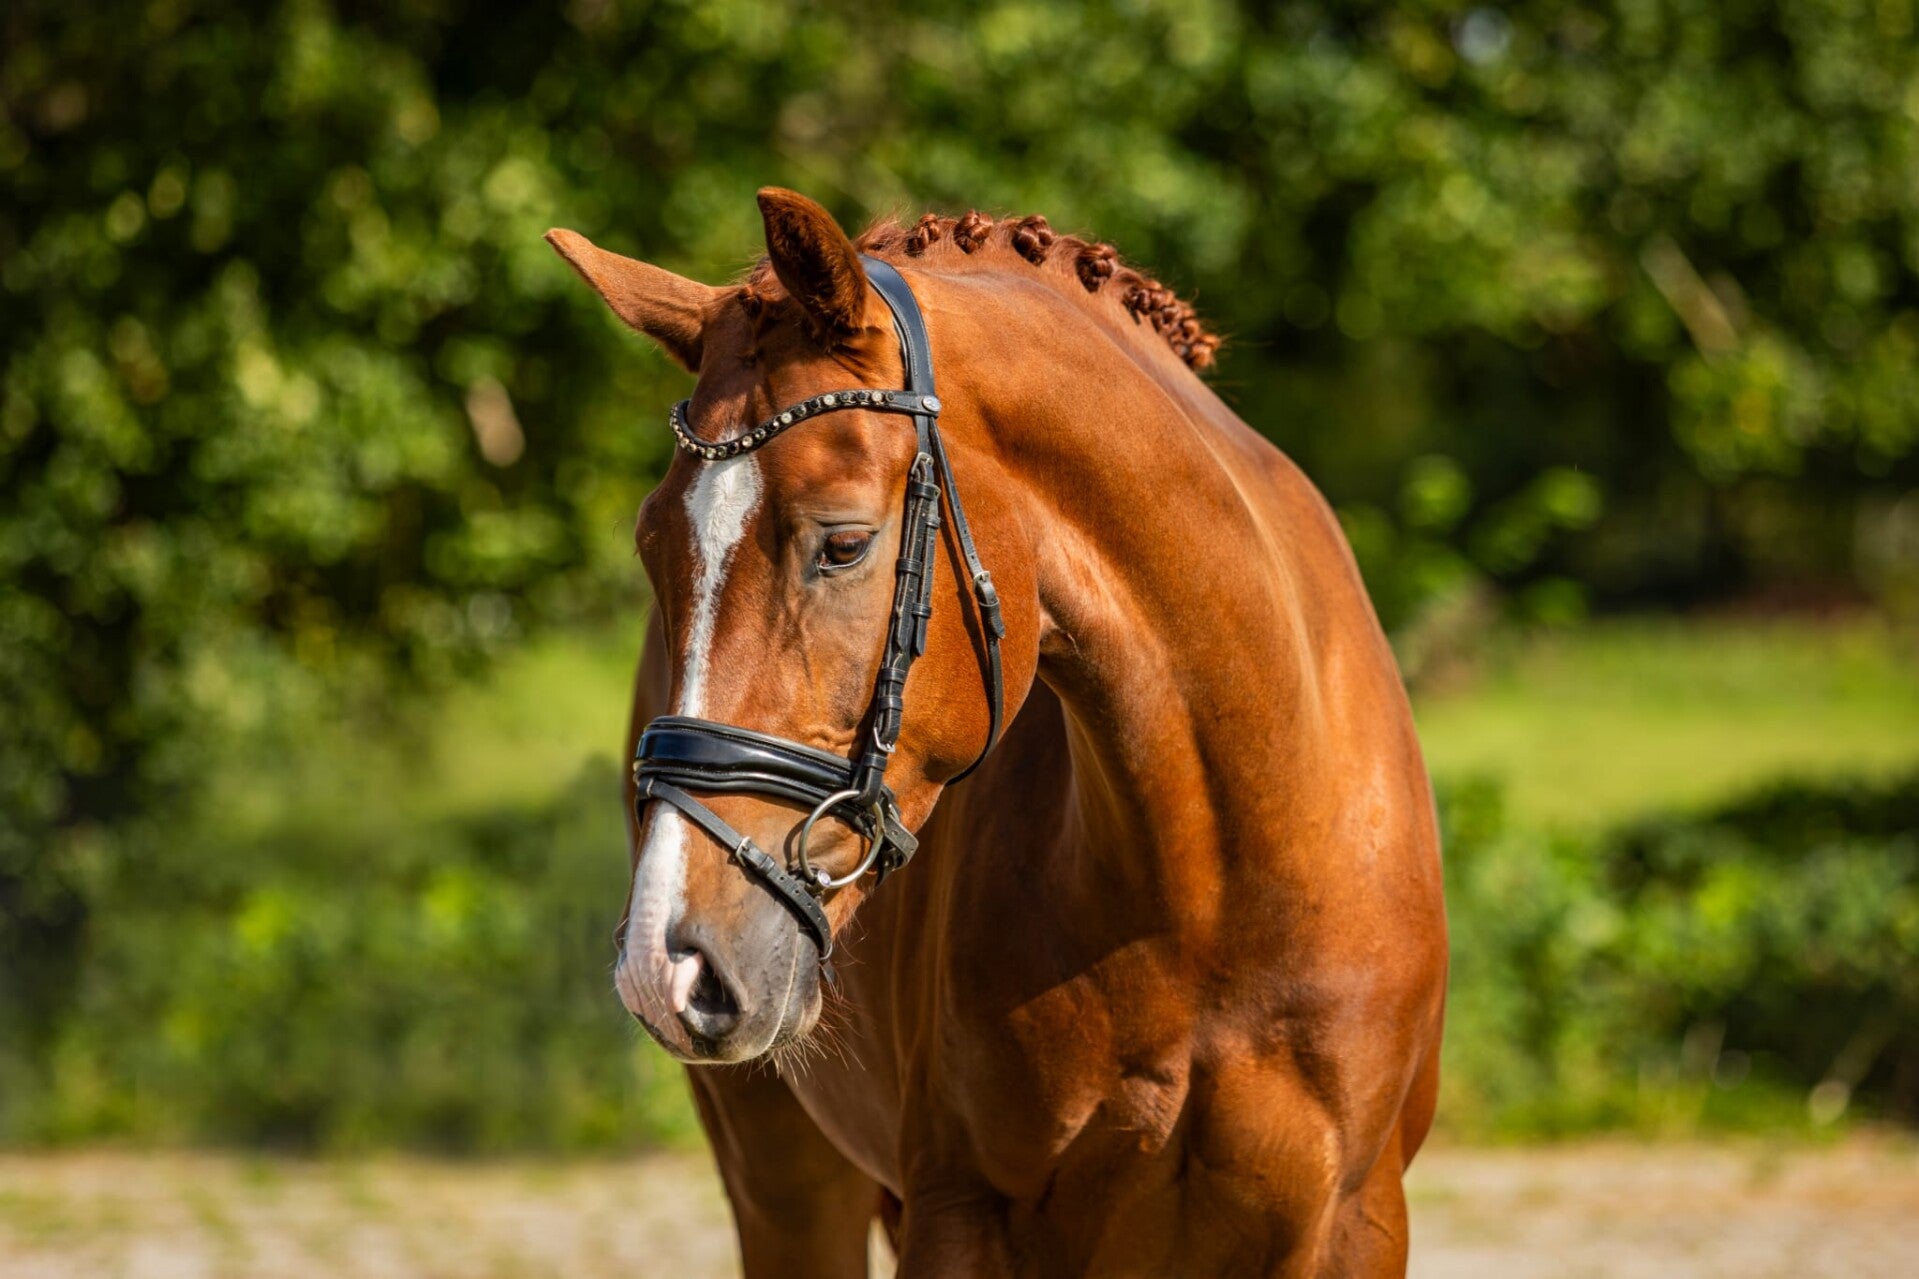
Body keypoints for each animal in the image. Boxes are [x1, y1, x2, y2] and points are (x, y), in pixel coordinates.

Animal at [546, 188, 1448, 1277]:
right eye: (653, 549)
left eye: (843, 543)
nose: (667, 961)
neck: (1218, 879)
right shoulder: (963, 1212)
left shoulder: (1352, 1221)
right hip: (782, 1178)